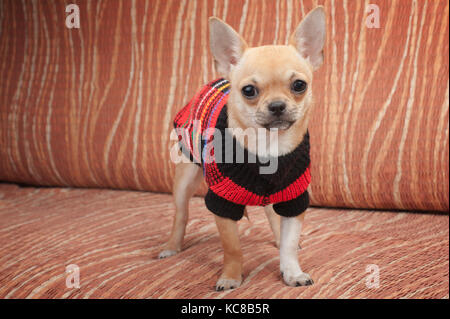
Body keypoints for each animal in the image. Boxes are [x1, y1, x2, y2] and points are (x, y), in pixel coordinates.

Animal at [160, 6, 326, 292]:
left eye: (299, 85)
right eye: (249, 90)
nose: (277, 105)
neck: (269, 145)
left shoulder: (293, 199)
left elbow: (289, 243)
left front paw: (292, 271)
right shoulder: (223, 204)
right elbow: (232, 248)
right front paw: (230, 277)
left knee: (272, 215)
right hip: (185, 179)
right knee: (180, 215)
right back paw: (172, 246)